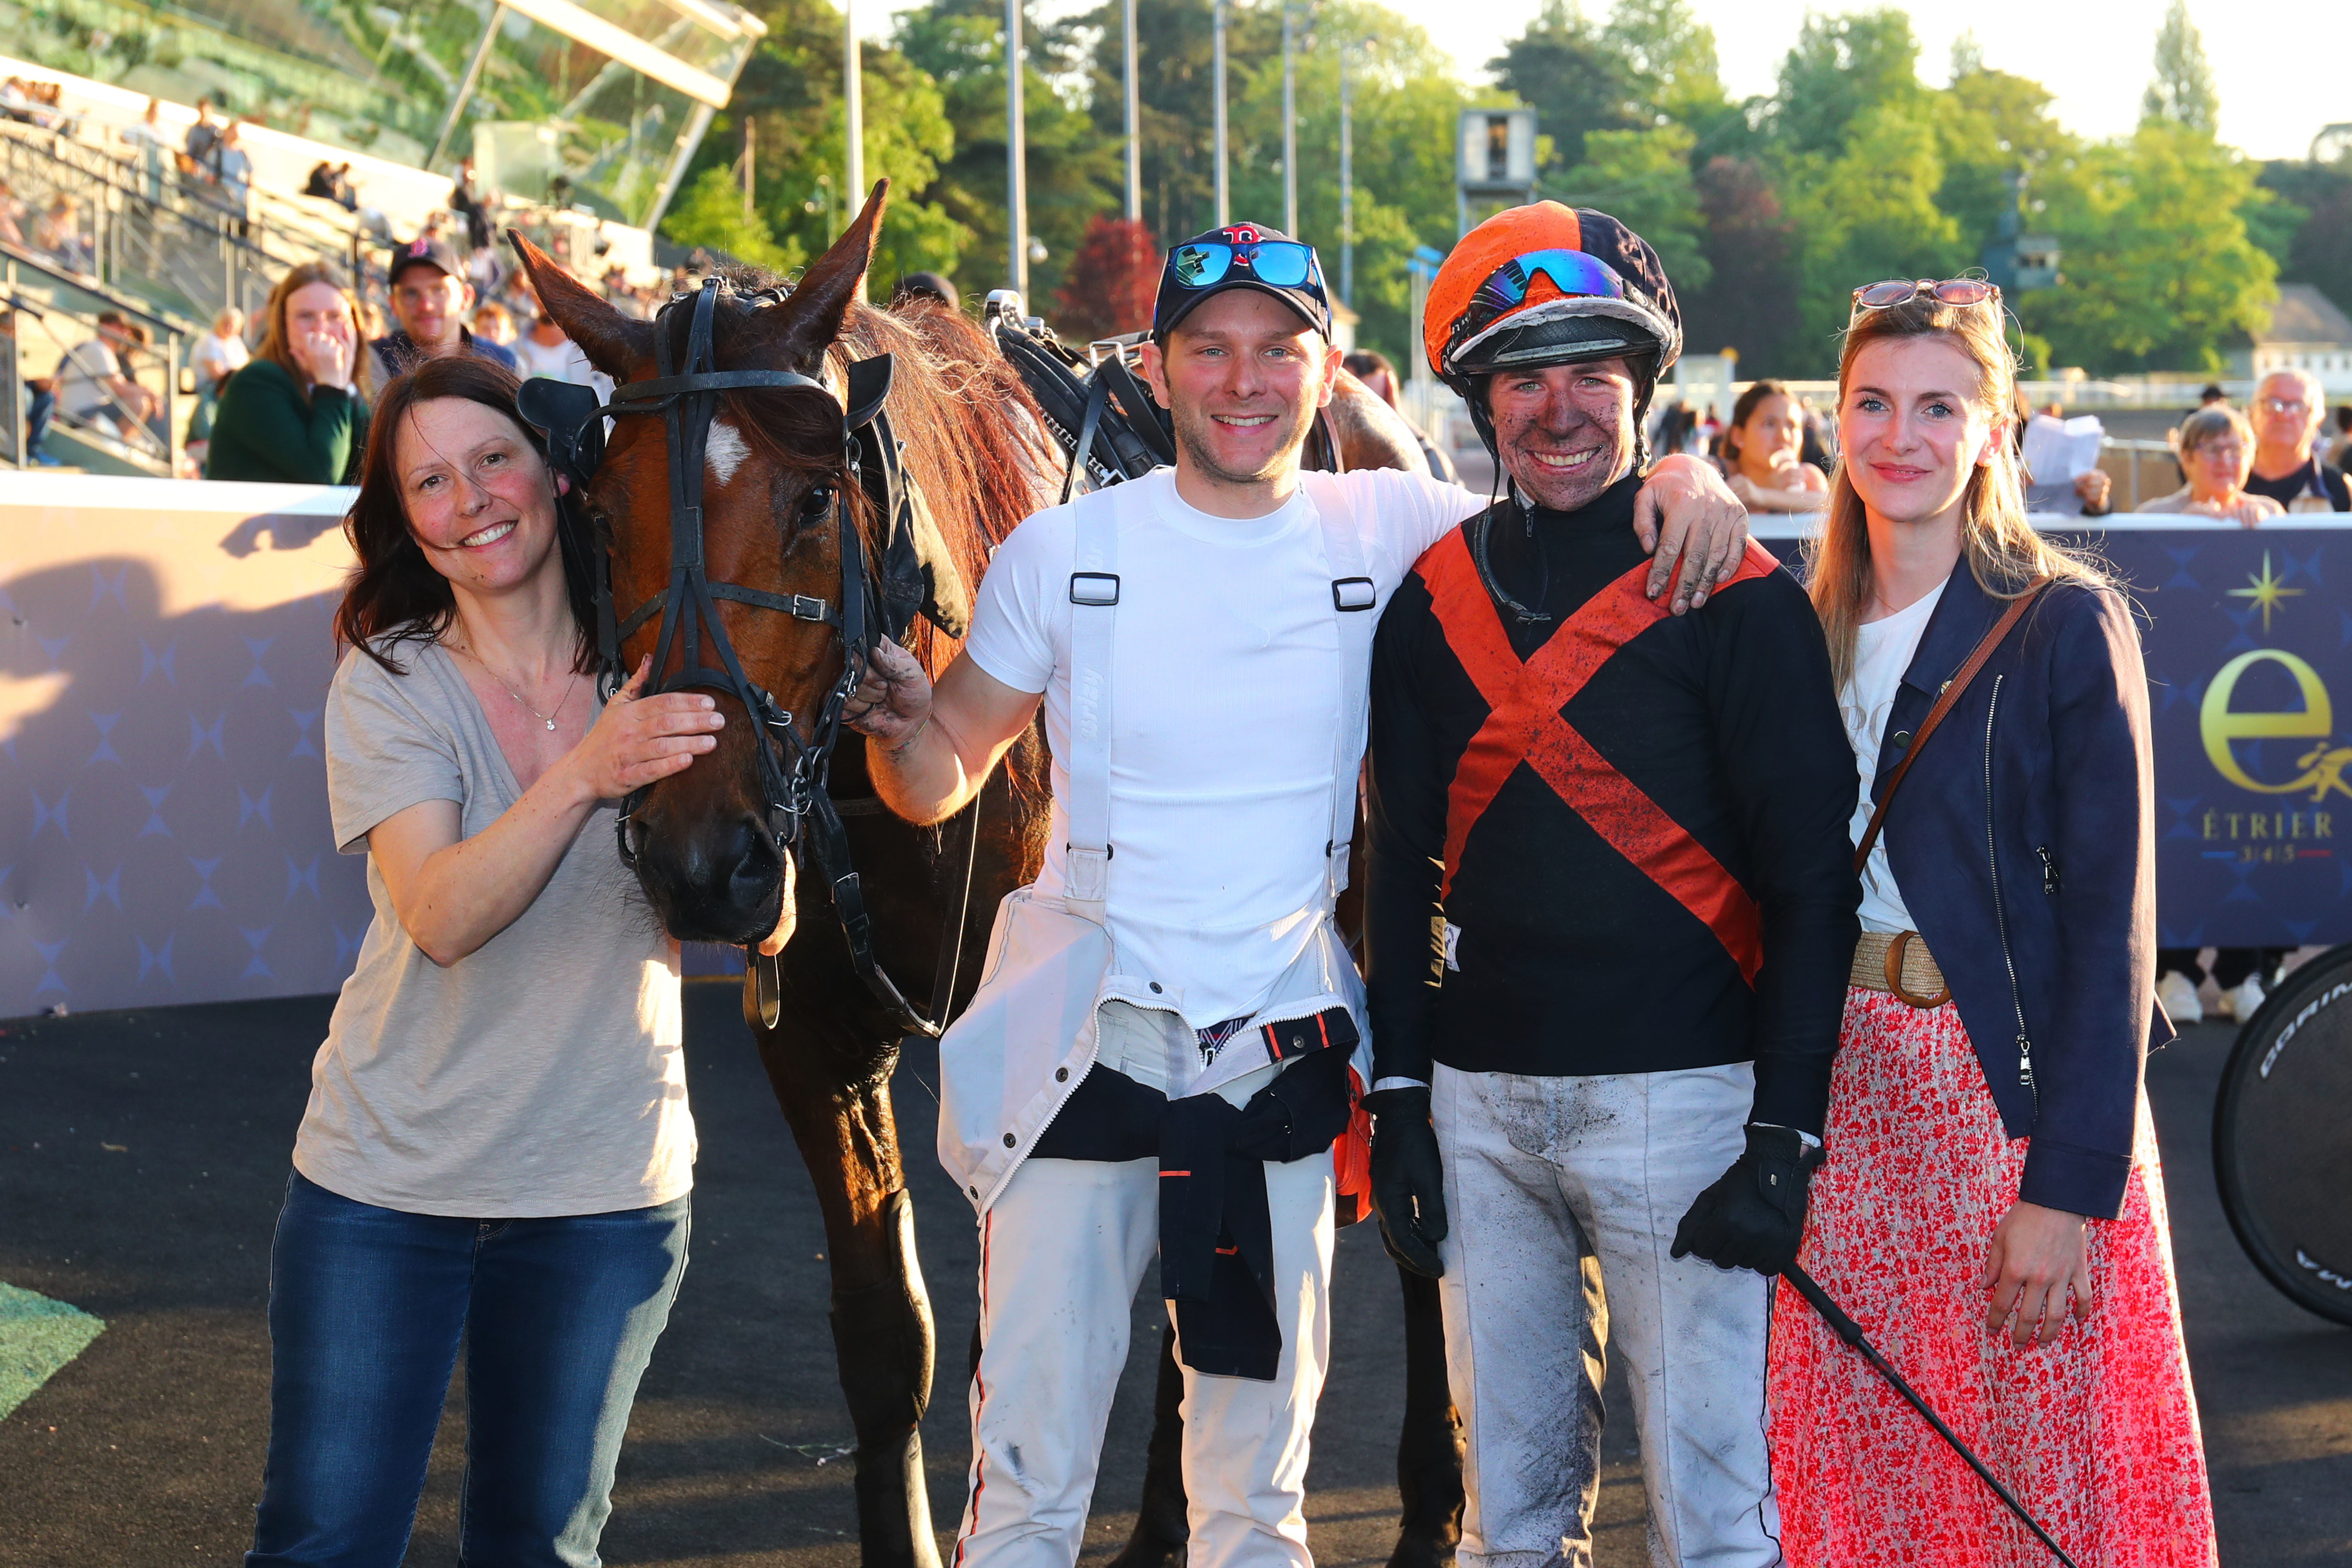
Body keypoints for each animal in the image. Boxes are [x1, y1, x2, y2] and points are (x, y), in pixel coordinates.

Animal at [520, 190, 1467, 1568]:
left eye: (814, 500)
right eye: (595, 515)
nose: (702, 860)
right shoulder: (812, 1036)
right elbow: (888, 1337)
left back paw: (1436, 1499)